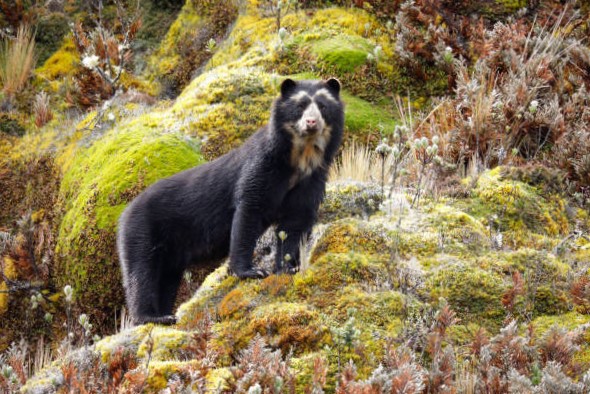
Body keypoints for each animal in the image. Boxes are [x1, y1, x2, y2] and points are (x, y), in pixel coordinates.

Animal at [118, 78, 344, 324]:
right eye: (300, 105)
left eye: (322, 106)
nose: (311, 122)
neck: (300, 157)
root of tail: (124, 212)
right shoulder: (262, 167)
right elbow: (249, 212)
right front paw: (251, 271)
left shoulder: (312, 178)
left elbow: (296, 221)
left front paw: (287, 268)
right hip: (142, 232)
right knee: (142, 273)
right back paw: (152, 317)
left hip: (169, 252)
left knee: (165, 280)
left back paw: (165, 314)